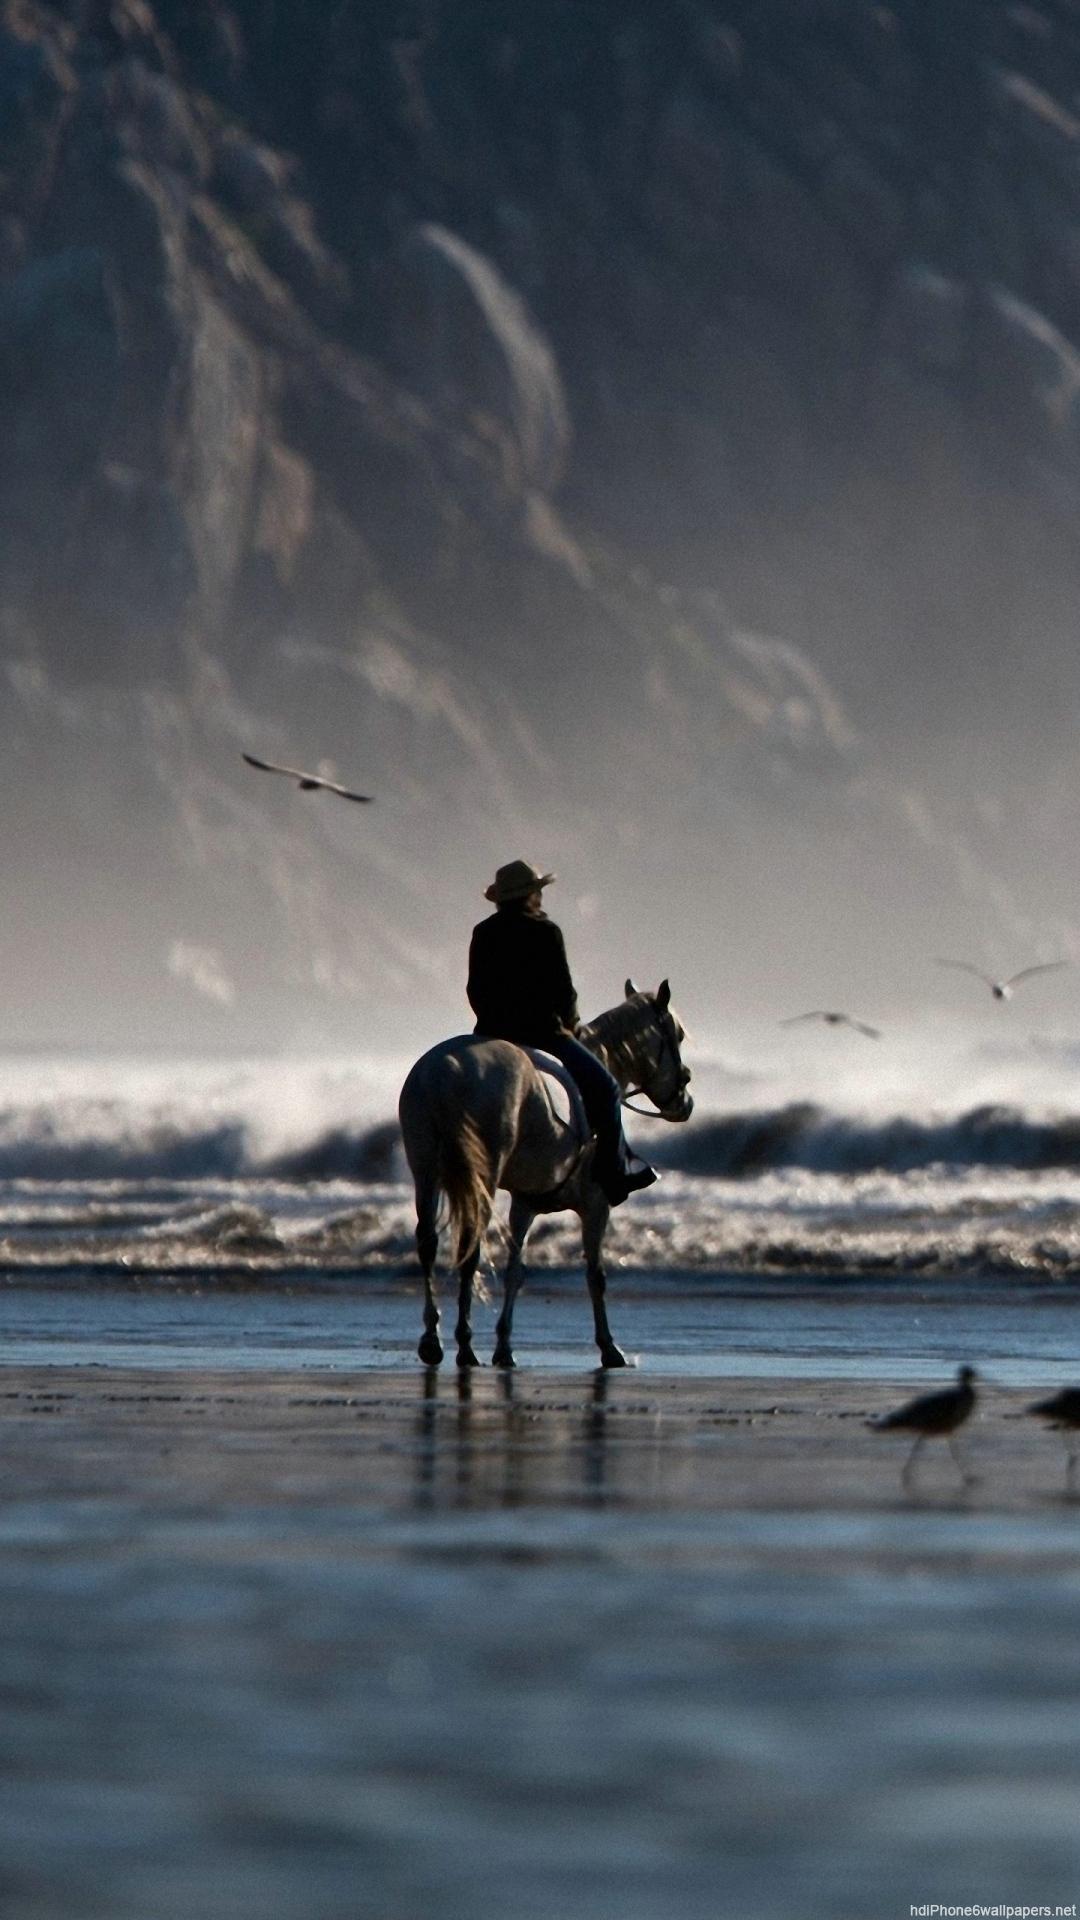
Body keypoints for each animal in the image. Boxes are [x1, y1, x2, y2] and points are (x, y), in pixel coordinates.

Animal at [397, 979, 693, 1369]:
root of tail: (445, 1070)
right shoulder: (596, 1203)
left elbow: (516, 1270)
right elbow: (595, 1275)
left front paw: (504, 1347)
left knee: (429, 1242)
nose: (684, 1102)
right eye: (678, 1035)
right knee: (469, 1247)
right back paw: (464, 1345)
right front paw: (609, 1347)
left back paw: (433, 1339)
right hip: (482, 1175)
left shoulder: (525, 1204)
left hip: (425, 1169)